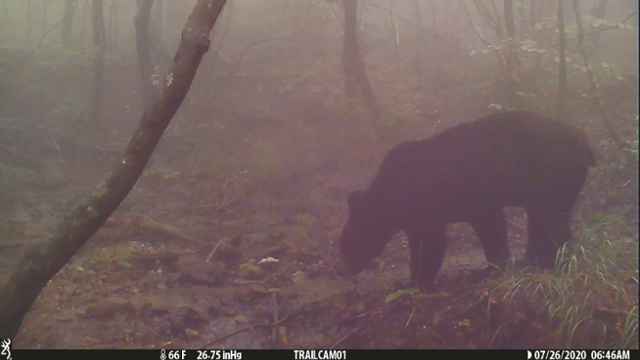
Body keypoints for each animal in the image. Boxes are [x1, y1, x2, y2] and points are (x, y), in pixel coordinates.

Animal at [340, 110, 596, 286]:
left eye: (346, 241)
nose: (346, 268)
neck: (392, 197)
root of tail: (585, 141)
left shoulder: (433, 199)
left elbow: (435, 241)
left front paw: (418, 280)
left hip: (551, 175)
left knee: (549, 219)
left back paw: (549, 260)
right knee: (545, 218)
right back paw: (535, 258)